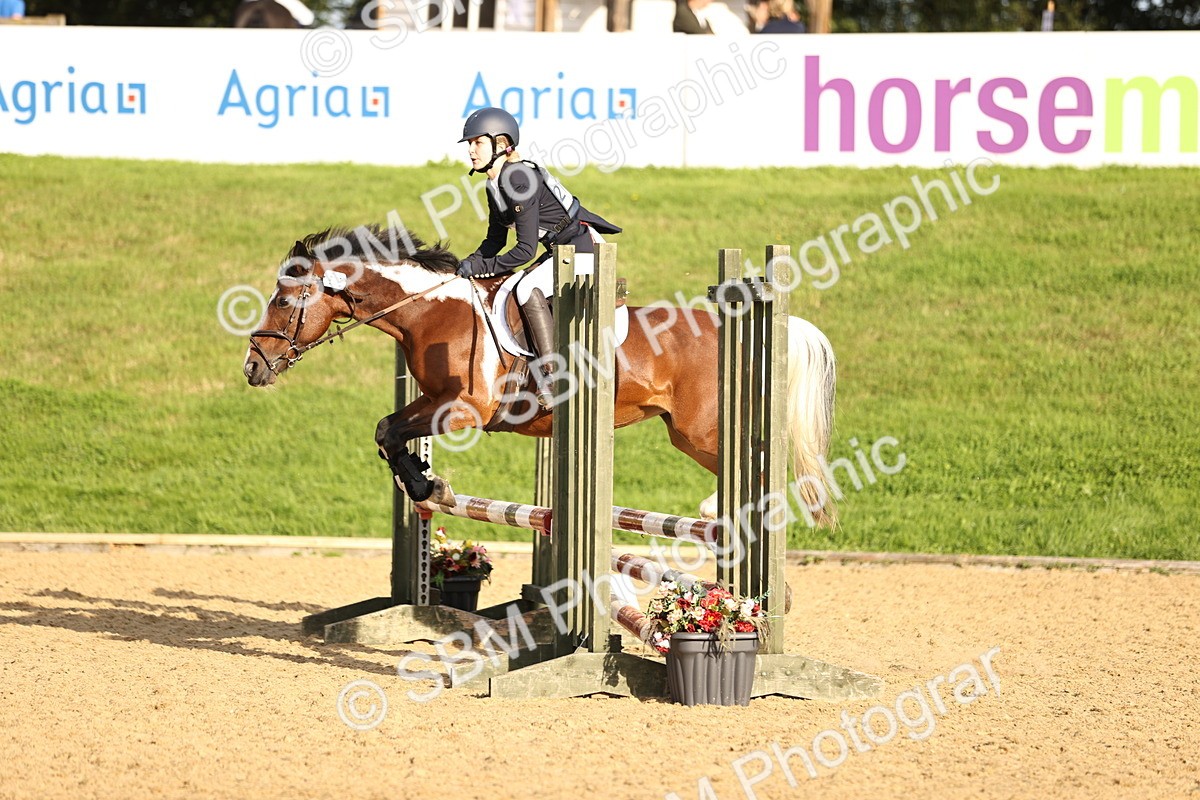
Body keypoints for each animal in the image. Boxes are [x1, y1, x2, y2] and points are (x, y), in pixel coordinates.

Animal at [242, 225, 839, 526]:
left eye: (283, 300)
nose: (253, 368)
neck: (429, 310)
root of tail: (737, 324)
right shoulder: (434, 400)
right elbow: (387, 430)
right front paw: (429, 487)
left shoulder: (465, 409)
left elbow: (389, 429)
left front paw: (430, 487)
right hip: (687, 431)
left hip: (700, 431)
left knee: (756, 471)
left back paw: (723, 518)